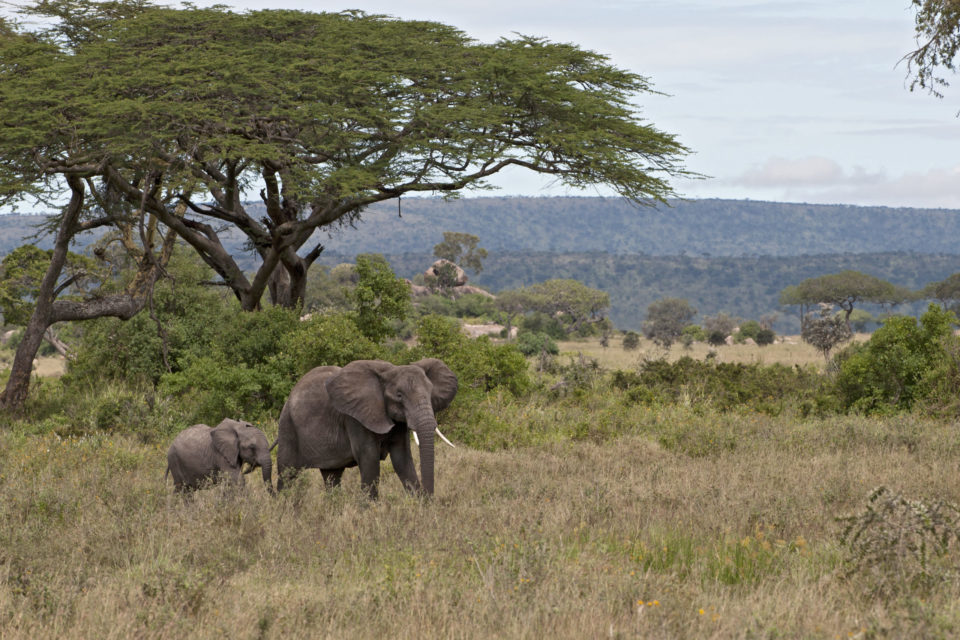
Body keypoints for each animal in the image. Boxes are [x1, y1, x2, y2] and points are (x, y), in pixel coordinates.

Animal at [276, 358, 460, 498]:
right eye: (399, 396)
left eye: (430, 393)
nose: (429, 497)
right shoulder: (355, 418)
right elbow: (369, 459)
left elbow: (402, 459)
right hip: (287, 427)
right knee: (286, 475)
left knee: (332, 476)